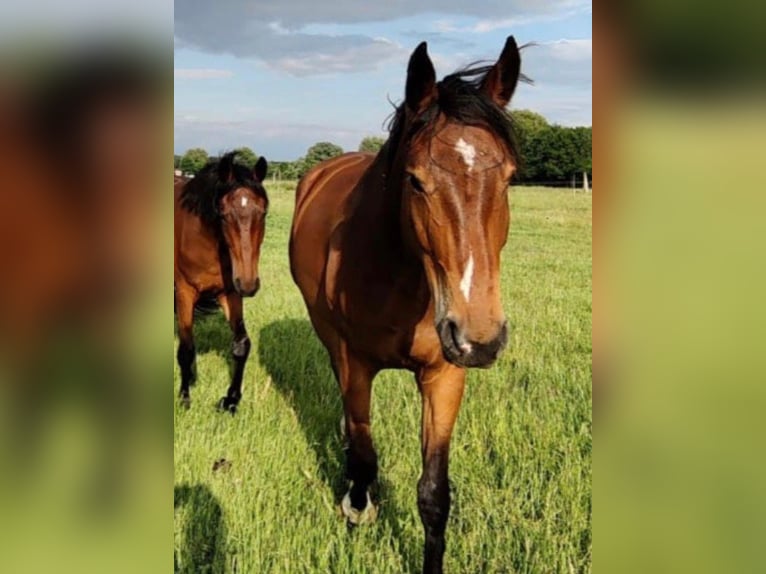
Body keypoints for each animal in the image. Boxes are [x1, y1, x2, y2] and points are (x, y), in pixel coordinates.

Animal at [174, 151, 269, 412]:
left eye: (263, 213)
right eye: (224, 215)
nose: (249, 284)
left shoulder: (230, 291)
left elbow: (241, 344)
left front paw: (231, 400)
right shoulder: (185, 292)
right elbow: (186, 348)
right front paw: (184, 397)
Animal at [289, 36, 522, 573]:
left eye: (509, 178)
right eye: (415, 180)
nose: (480, 338)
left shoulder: (445, 373)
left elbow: (434, 494)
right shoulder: (355, 363)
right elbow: (364, 454)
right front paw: (358, 506)